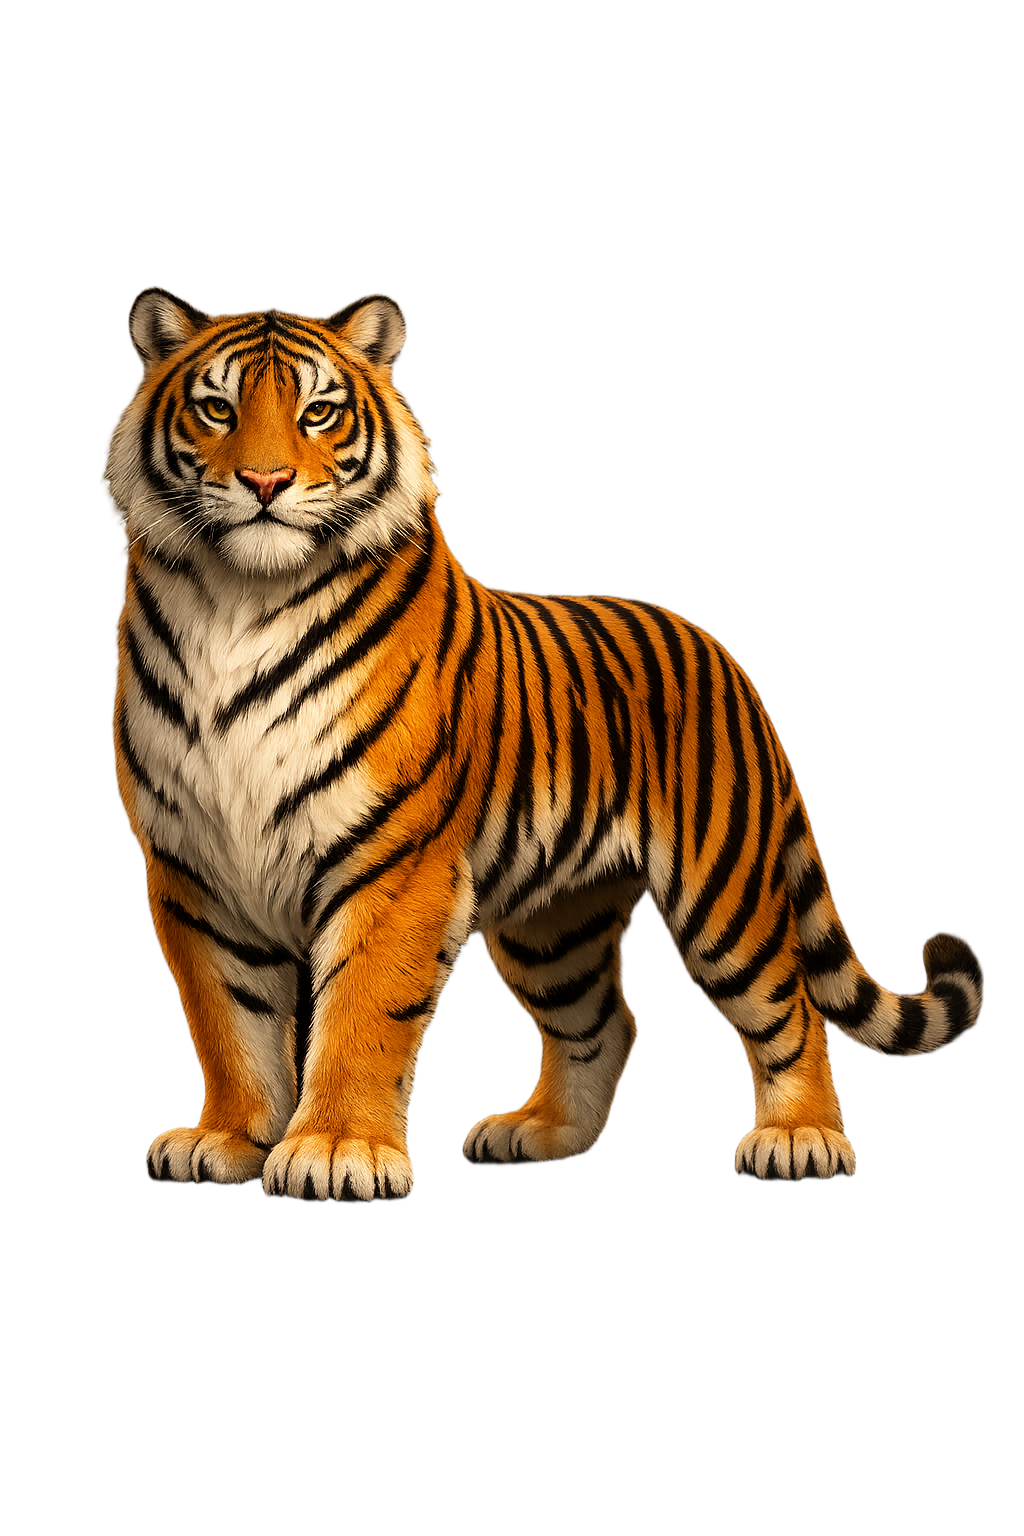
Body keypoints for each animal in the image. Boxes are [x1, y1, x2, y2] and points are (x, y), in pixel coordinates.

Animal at [108, 287, 982, 1203]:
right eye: (217, 409)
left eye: (319, 412)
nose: (266, 483)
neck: (239, 602)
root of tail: (720, 650)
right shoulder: (196, 869)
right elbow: (228, 1022)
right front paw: (227, 1138)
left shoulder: (394, 865)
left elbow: (357, 1017)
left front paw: (334, 1150)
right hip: (555, 926)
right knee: (602, 1024)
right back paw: (543, 1133)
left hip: (724, 899)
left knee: (792, 1011)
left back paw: (801, 1138)